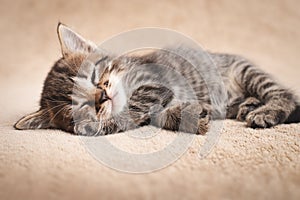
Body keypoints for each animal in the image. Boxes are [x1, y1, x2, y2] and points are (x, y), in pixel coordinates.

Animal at [14, 23, 300, 136]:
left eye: (94, 76)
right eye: (81, 106)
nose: (103, 95)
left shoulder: (155, 79)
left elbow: (134, 107)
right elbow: (156, 115)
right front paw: (192, 116)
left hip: (246, 72)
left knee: (285, 95)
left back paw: (266, 111)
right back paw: (249, 106)